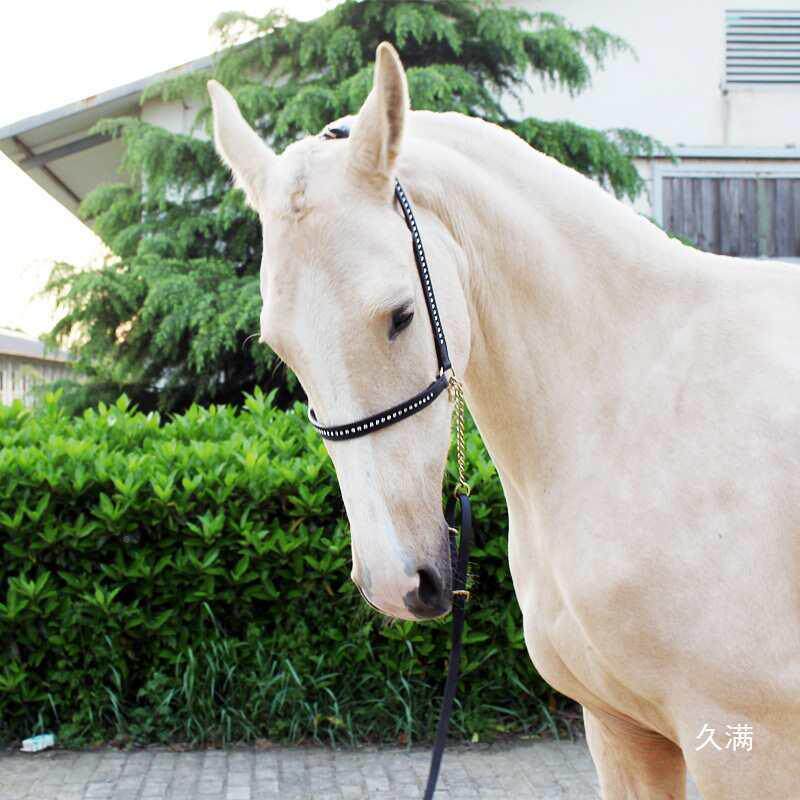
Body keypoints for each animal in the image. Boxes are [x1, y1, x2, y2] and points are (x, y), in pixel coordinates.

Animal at [208, 42, 800, 799]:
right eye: (281, 347)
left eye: (401, 314)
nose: (397, 583)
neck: (635, 409)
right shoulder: (620, 731)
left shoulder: (747, 747)